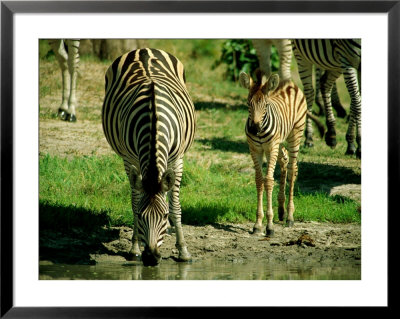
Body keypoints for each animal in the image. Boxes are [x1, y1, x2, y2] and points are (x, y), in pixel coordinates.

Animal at [102, 48, 196, 268]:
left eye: (163, 215)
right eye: (140, 216)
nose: (151, 258)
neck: (154, 120)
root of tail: (143, 49)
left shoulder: (177, 160)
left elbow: (175, 206)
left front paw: (183, 251)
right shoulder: (130, 160)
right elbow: (135, 201)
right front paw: (134, 249)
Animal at [239, 69, 324, 236]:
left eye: (266, 105)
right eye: (248, 104)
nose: (254, 129)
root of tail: (290, 83)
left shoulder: (271, 147)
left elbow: (269, 180)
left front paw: (269, 226)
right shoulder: (255, 149)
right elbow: (259, 180)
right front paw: (258, 224)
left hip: (295, 134)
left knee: (292, 169)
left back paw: (289, 216)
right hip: (279, 142)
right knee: (285, 160)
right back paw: (281, 210)